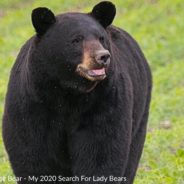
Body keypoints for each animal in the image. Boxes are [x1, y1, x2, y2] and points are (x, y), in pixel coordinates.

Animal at [2, 1, 152, 184]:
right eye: (76, 39)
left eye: (101, 38)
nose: (103, 56)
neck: (68, 92)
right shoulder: (32, 104)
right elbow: (31, 151)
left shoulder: (105, 102)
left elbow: (101, 151)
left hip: (140, 110)